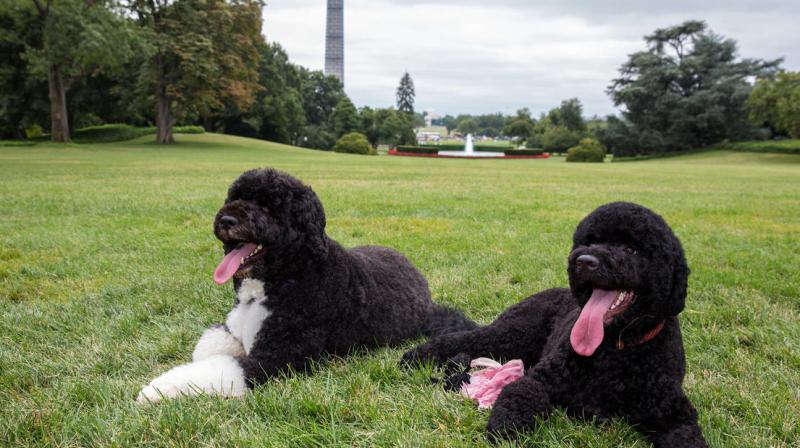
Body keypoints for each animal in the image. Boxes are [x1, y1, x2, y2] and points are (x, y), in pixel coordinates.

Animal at [137, 167, 476, 402]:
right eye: (236, 197)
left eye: (269, 207)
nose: (227, 220)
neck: (283, 277)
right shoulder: (234, 328)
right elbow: (210, 346)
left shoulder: (279, 356)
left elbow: (223, 366)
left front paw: (157, 389)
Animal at [406, 203, 708, 448]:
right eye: (590, 241)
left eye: (631, 249)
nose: (584, 261)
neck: (615, 350)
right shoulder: (541, 379)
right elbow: (521, 393)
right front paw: (506, 429)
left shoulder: (674, 414)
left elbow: (687, 436)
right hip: (512, 334)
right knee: (465, 338)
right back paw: (415, 356)